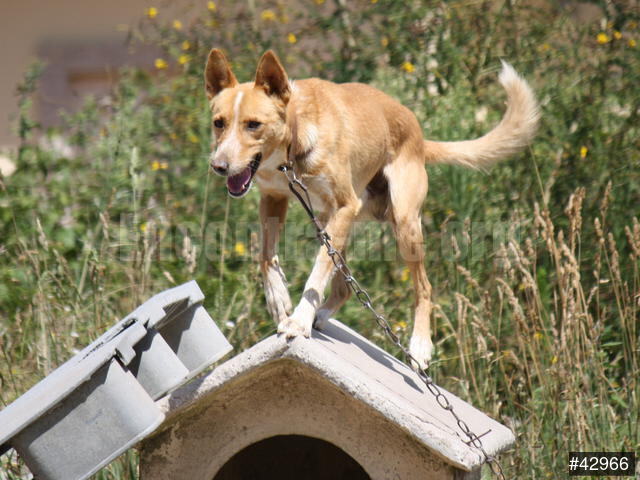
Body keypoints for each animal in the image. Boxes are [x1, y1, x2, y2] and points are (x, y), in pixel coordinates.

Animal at [204, 49, 538, 368]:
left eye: (253, 125)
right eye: (218, 123)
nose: (218, 167)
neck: (293, 146)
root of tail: (419, 135)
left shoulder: (344, 205)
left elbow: (316, 273)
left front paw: (298, 321)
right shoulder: (273, 198)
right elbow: (265, 255)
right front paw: (278, 300)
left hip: (402, 224)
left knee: (424, 287)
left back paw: (420, 346)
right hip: (329, 222)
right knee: (343, 286)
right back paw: (322, 315)